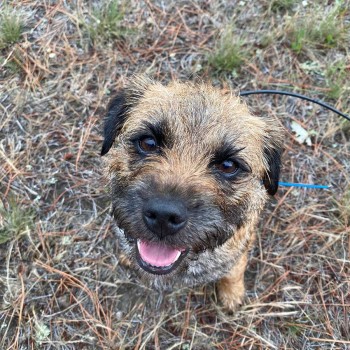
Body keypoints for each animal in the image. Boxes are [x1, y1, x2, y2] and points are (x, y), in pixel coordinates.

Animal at [100, 76, 284, 312]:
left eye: (228, 165)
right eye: (148, 143)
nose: (163, 215)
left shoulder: (238, 253)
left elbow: (233, 274)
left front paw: (232, 293)